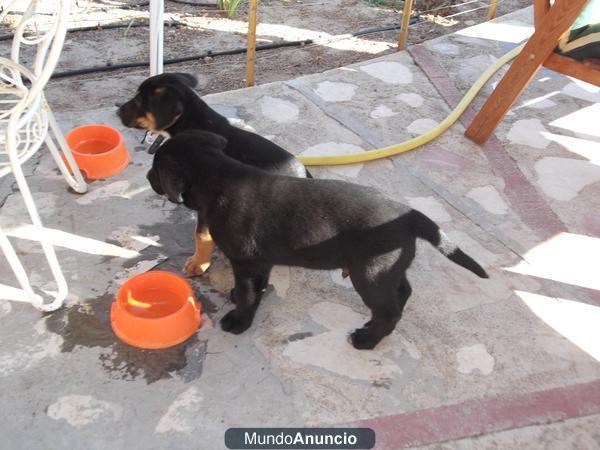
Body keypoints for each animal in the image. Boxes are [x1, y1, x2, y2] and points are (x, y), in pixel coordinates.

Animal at [116, 73, 308, 278]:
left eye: (139, 100)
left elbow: (201, 235)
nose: (117, 112)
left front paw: (198, 263)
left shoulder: (207, 204)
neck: (193, 122)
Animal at [149, 130, 488, 348]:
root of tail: (410, 214)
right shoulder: (259, 262)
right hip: (388, 267)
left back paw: (366, 340)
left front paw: (239, 321)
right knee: (402, 293)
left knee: (389, 308)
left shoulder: (244, 261)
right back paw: (373, 327)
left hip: (370, 274)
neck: (217, 176)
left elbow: (247, 294)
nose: (148, 178)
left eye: (156, 168)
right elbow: (256, 288)